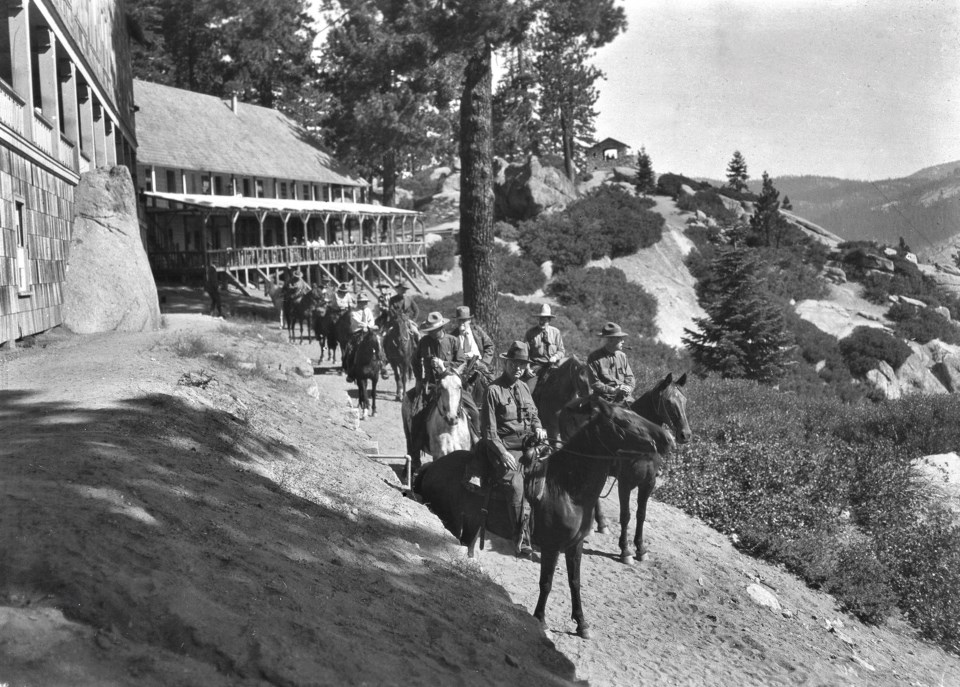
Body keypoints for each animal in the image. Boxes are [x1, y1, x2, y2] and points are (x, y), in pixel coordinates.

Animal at [416, 398, 680, 640]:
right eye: (623, 421)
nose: (668, 438)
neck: (566, 487)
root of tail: (432, 467)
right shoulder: (552, 547)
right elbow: (547, 582)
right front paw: (540, 619)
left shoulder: (575, 546)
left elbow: (575, 582)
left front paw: (582, 624)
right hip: (448, 520)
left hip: (471, 525)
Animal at [560, 374, 692, 568]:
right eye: (668, 402)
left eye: (684, 400)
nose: (685, 435)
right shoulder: (625, 483)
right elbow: (625, 515)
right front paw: (626, 551)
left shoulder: (648, 483)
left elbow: (641, 515)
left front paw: (641, 549)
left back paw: (600, 524)